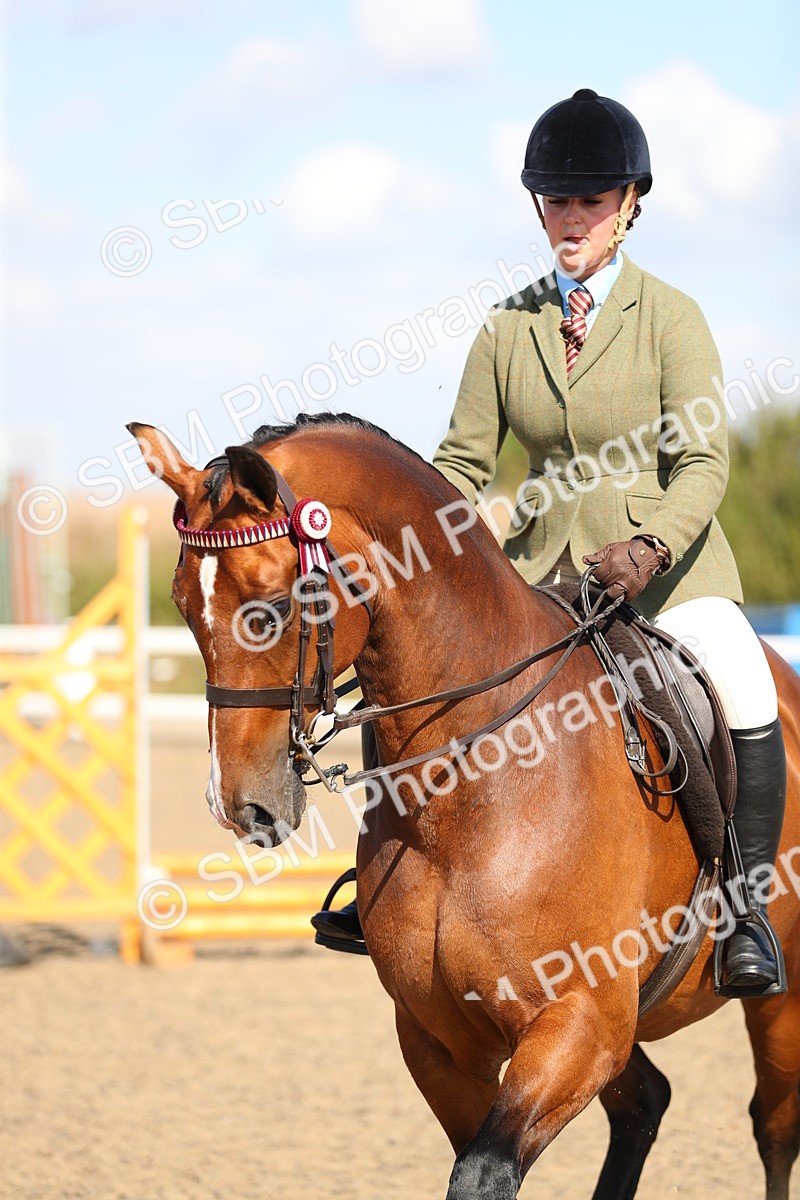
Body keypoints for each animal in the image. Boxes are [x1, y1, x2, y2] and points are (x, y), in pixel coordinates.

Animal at [129, 412, 800, 1199]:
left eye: (270, 608)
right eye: (182, 606)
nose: (240, 806)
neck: (467, 789)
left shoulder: (579, 1023)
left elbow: (481, 1171)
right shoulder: (440, 1041)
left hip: (776, 1004)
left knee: (774, 1126)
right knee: (646, 1103)